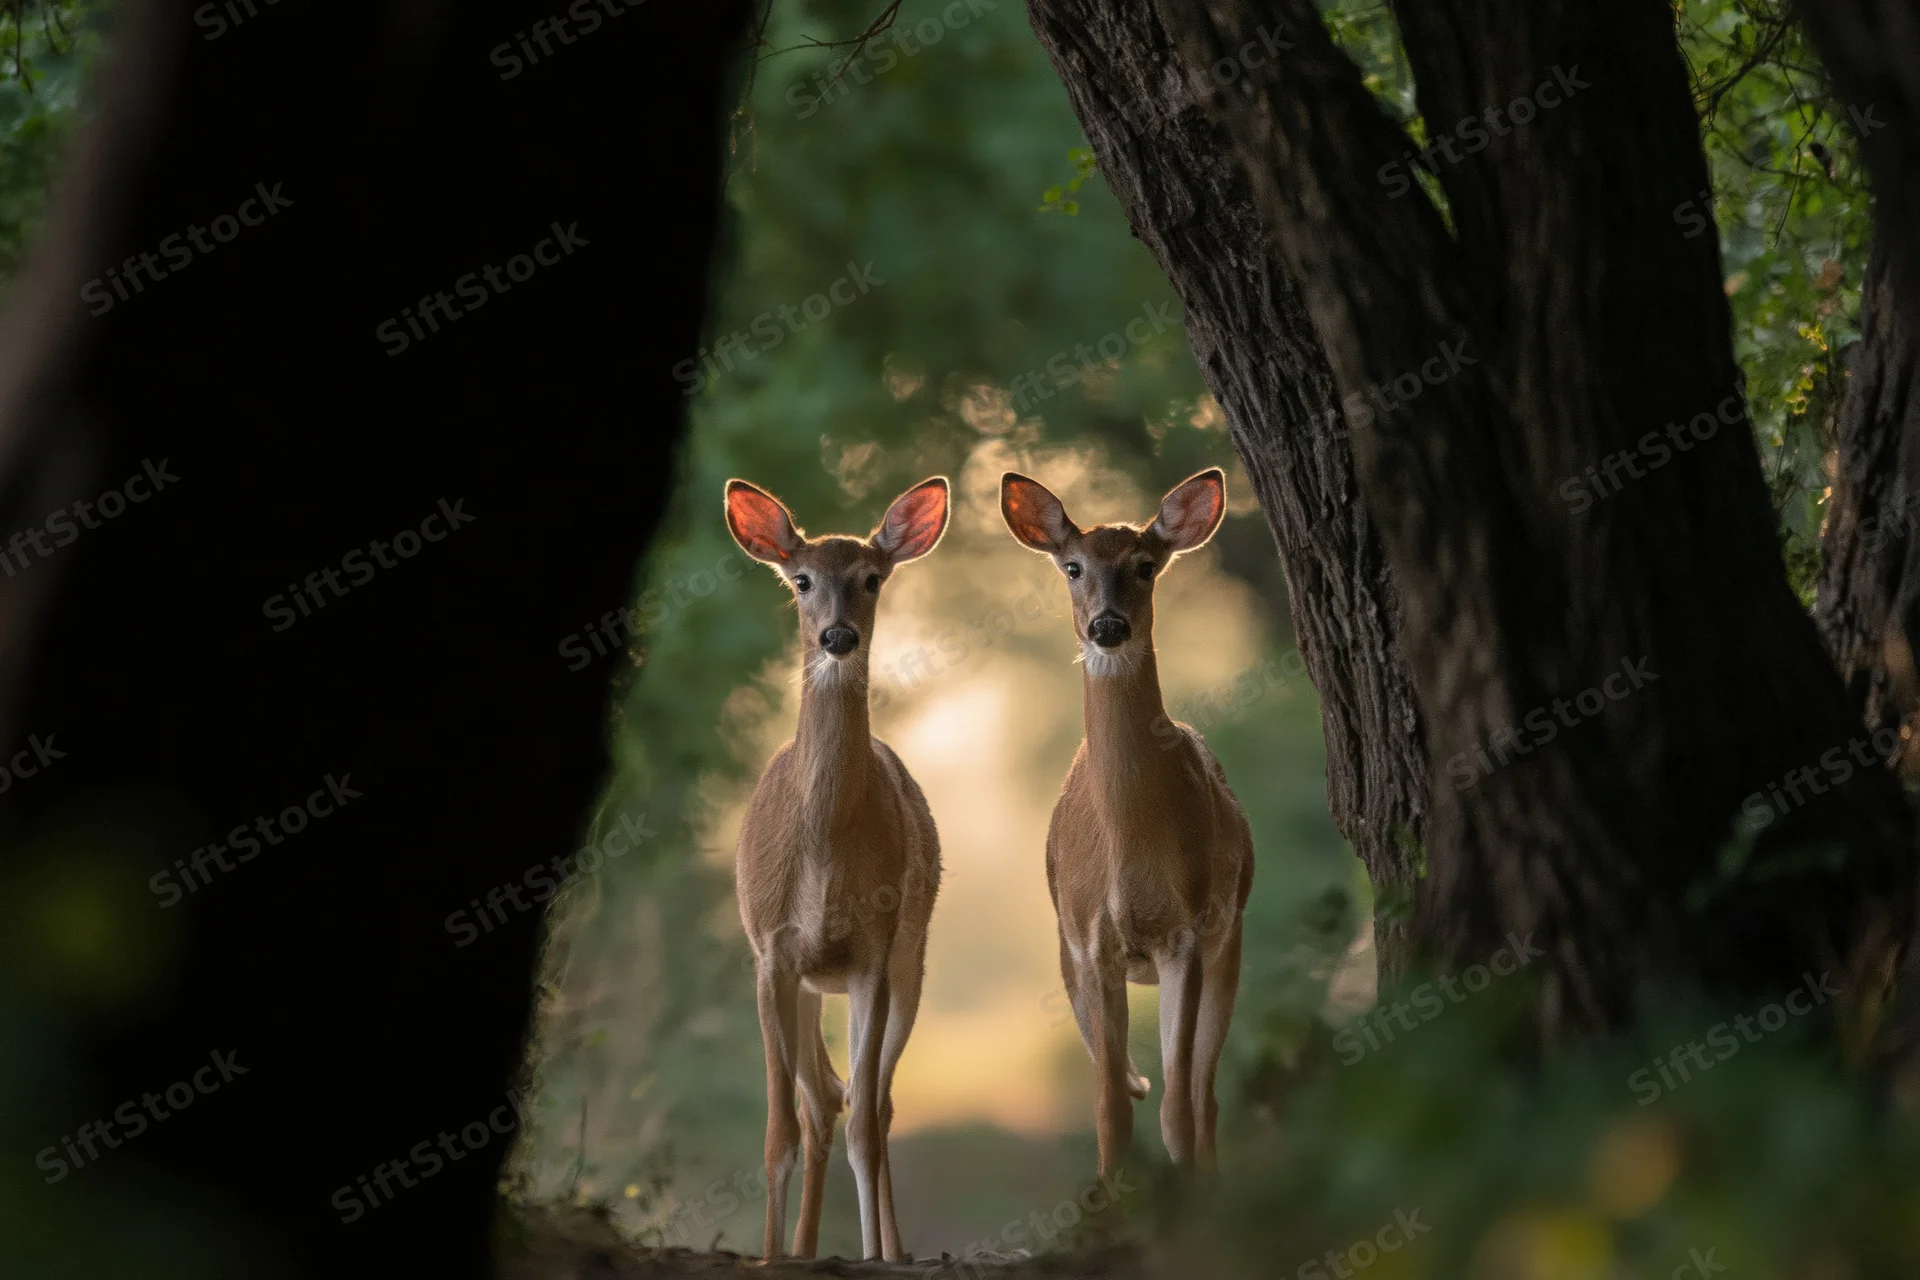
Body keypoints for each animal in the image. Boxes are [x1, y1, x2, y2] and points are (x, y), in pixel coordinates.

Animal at [722, 474, 949, 1262]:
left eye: (872, 579)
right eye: (801, 580)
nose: (838, 636)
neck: (821, 855)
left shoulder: (873, 954)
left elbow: (865, 1124)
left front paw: (880, 1257)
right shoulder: (770, 952)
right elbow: (778, 1133)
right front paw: (768, 1257)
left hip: (910, 959)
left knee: (871, 1103)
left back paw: (893, 1249)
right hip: (808, 984)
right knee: (824, 1098)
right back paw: (801, 1247)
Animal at [1000, 466, 1254, 1179]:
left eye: (1145, 565)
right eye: (1073, 567)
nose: (1106, 626)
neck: (1130, 841)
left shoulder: (1188, 934)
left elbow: (1178, 1107)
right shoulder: (1088, 945)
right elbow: (1111, 1108)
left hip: (1230, 943)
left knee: (1203, 1093)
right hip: (1064, 956)